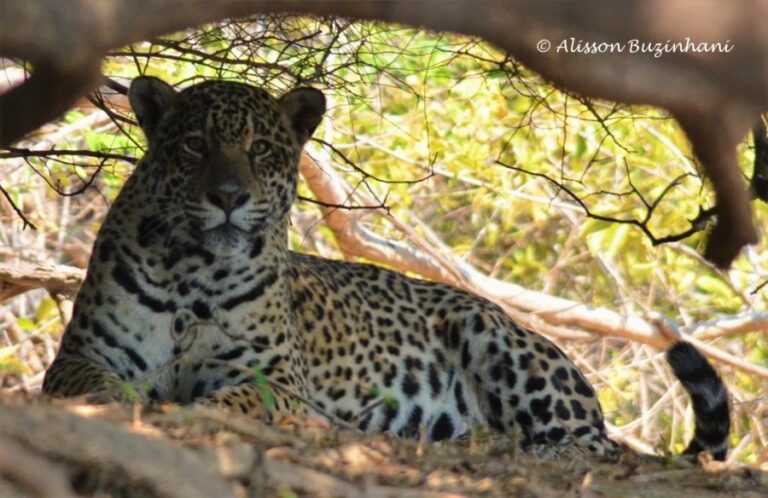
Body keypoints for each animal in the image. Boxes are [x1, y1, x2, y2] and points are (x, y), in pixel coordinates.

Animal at [43, 76, 730, 462]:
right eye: (193, 146)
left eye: (260, 149)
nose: (229, 196)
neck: (195, 271)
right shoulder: (79, 354)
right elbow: (92, 383)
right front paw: (126, 400)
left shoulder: (277, 380)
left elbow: (233, 398)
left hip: (496, 338)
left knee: (592, 444)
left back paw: (492, 441)